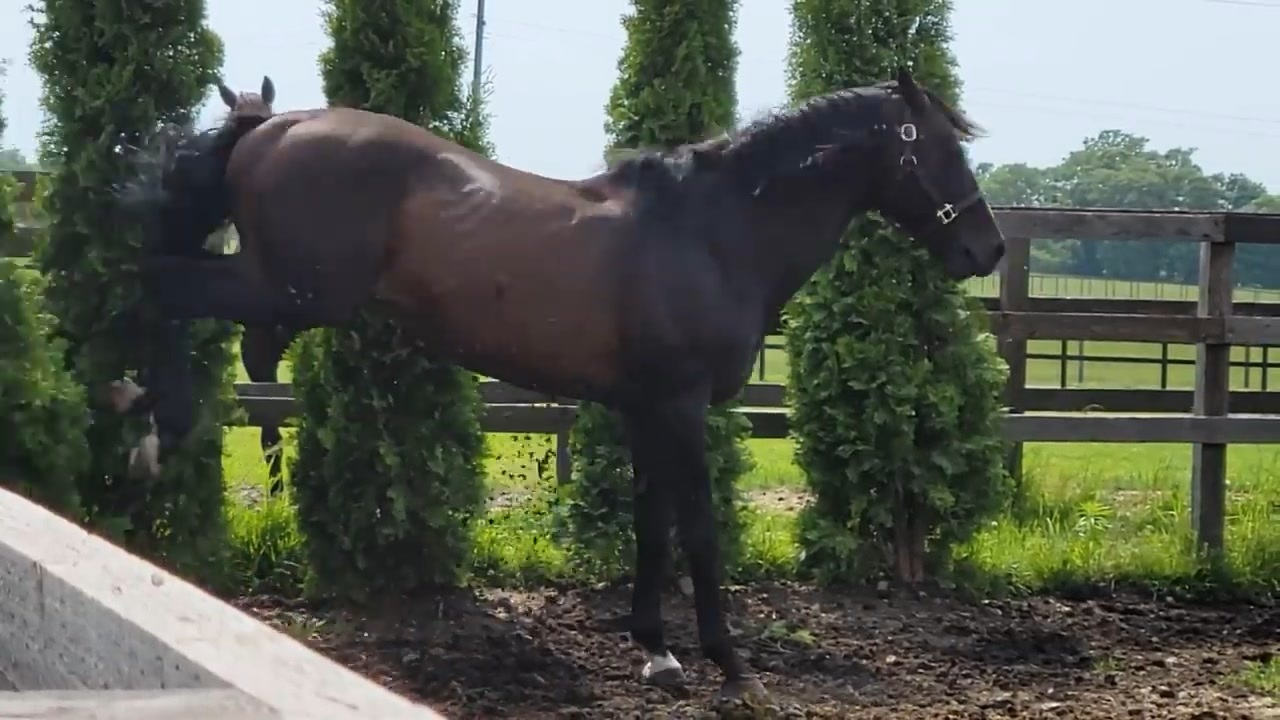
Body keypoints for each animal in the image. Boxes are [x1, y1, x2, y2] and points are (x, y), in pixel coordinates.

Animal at [115, 67, 1005, 701]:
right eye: (943, 148)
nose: (986, 249)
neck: (713, 232)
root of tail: (277, 125)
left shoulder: (646, 410)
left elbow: (651, 525)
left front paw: (657, 651)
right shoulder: (681, 407)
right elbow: (700, 530)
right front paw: (728, 662)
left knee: (163, 283)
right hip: (287, 290)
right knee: (165, 285)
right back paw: (153, 424)